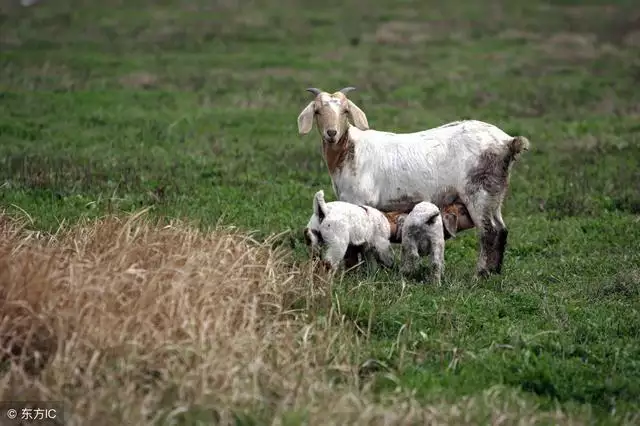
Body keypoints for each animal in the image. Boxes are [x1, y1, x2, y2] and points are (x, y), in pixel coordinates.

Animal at [300, 88, 528, 278]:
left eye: (345, 111)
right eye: (317, 111)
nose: (331, 133)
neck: (349, 150)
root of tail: (508, 142)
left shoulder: (361, 200)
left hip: (479, 190)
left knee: (489, 232)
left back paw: (480, 274)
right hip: (494, 193)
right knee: (501, 230)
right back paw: (494, 273)